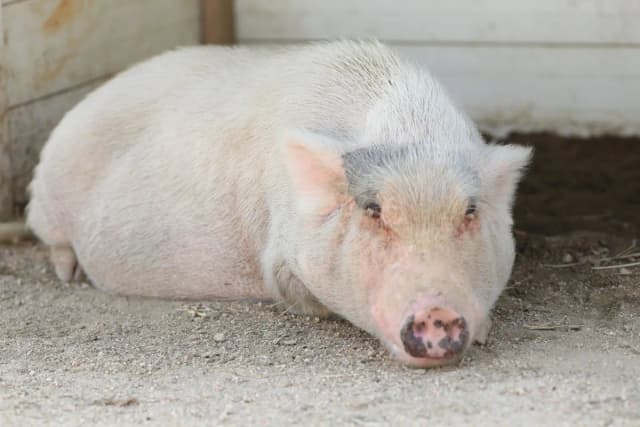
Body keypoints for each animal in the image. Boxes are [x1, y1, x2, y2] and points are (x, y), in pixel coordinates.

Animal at [27, 40, 532, 368]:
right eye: (373, 210)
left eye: (469, 212)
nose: (436, 313)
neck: (409, 128)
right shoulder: (278, 256)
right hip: (46, 200)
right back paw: (68, 275)